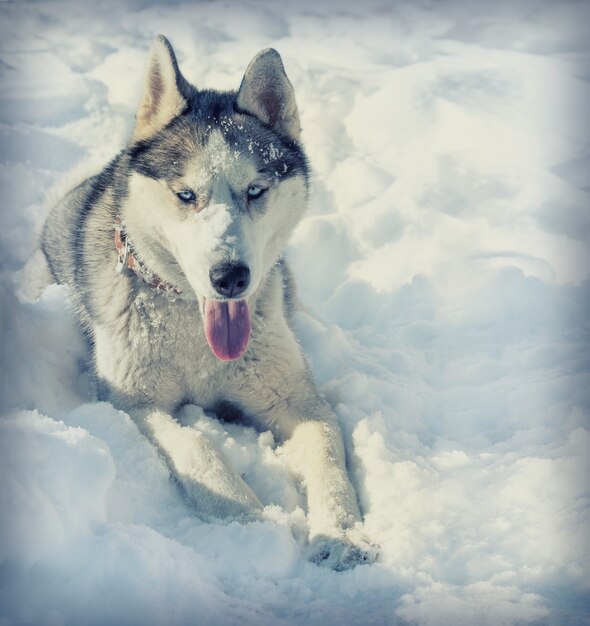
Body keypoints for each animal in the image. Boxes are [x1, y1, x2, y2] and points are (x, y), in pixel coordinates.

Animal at [37, 36, 374, 568]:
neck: (196, 334)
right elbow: (195, 444)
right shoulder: (132, 402)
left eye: (255, 190)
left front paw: (340, 533)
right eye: (185, 194)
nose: (230, 276)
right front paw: (249, 521)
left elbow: (326, 451)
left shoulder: (294, 396)